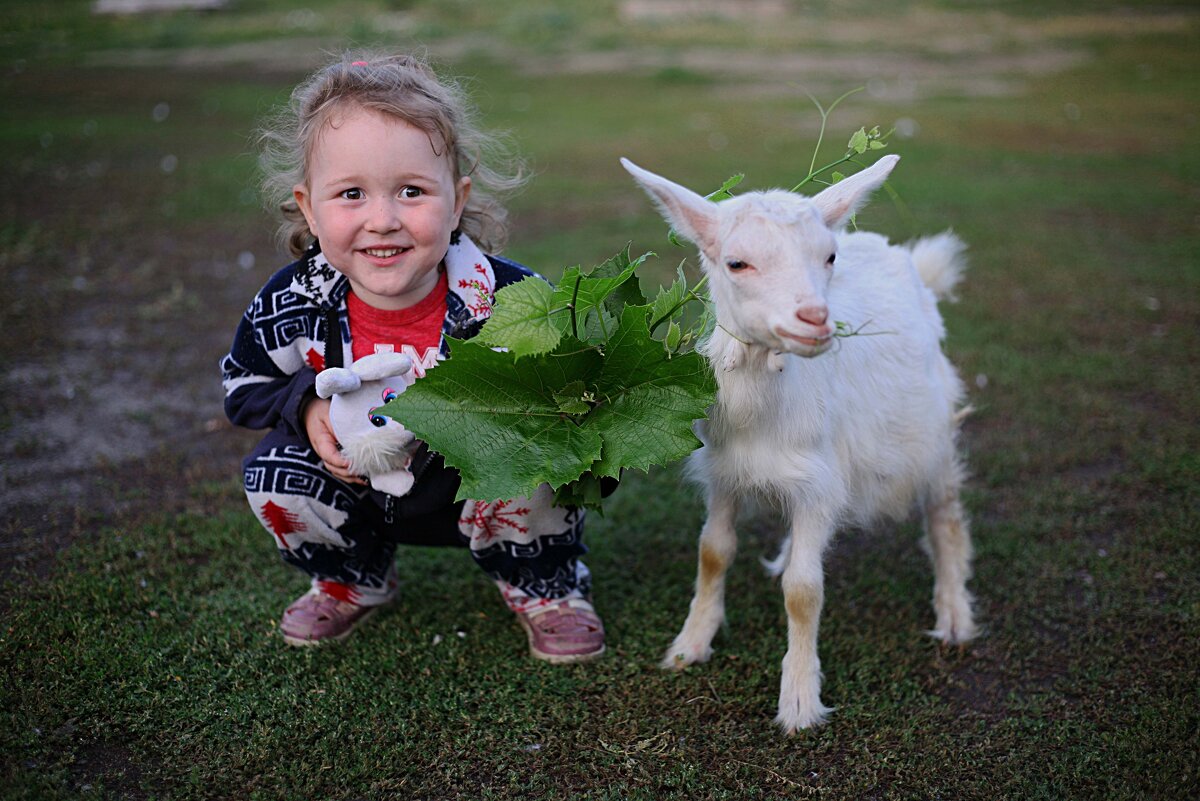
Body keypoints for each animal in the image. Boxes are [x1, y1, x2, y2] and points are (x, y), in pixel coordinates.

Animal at [624, 154, 979, 733]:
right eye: (737, 263)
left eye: (829, 256)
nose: (815, 319)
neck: (762, 414)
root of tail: (911, 262)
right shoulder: (723, 473)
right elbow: (713, 552)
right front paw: (689, 646)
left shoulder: (819, 485)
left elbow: (804, 591)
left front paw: (798, 700)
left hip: (935, 432)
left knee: (945, 516)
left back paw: (953, 617)